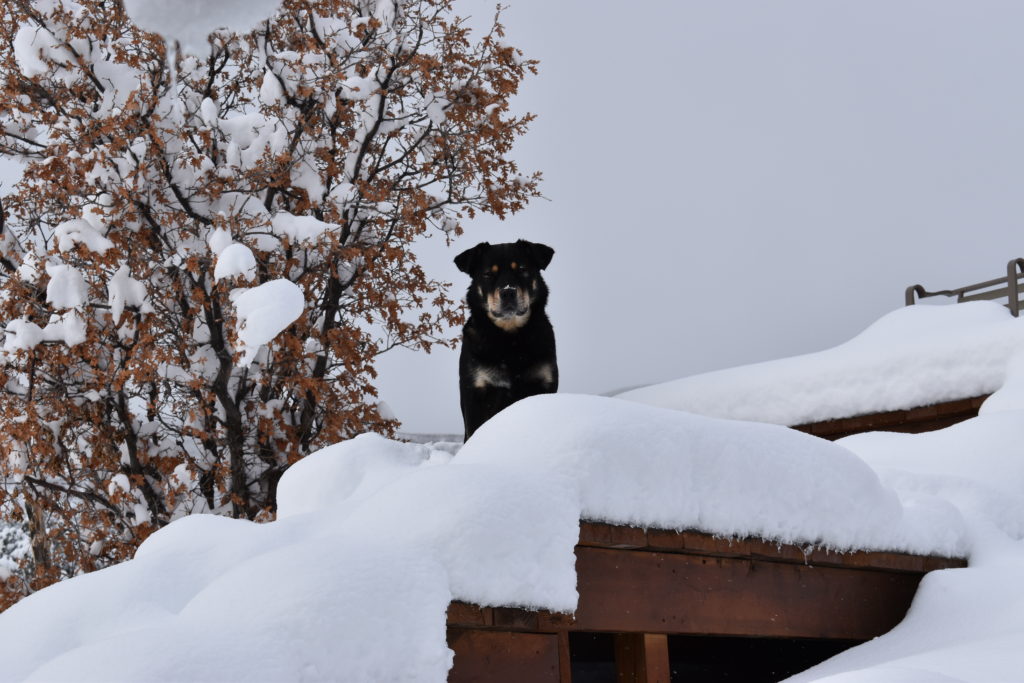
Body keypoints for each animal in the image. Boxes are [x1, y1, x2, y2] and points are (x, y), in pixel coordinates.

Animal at [454, 240, 557, 444]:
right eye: (488, 274)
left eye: (522, 269)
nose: (508, 292)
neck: (510, 340)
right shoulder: (476, 393)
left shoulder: (544, 384)